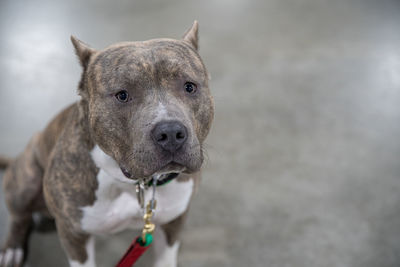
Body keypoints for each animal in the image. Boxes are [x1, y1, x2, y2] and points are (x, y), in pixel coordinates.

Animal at [0, 21, 214, 267]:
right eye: (122, 95)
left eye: (189, 87)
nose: (170, 132)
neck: (134, 185)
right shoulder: (74, 234)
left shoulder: (173, 221)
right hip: (27, 179)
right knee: (19, 215)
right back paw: (12, 248)